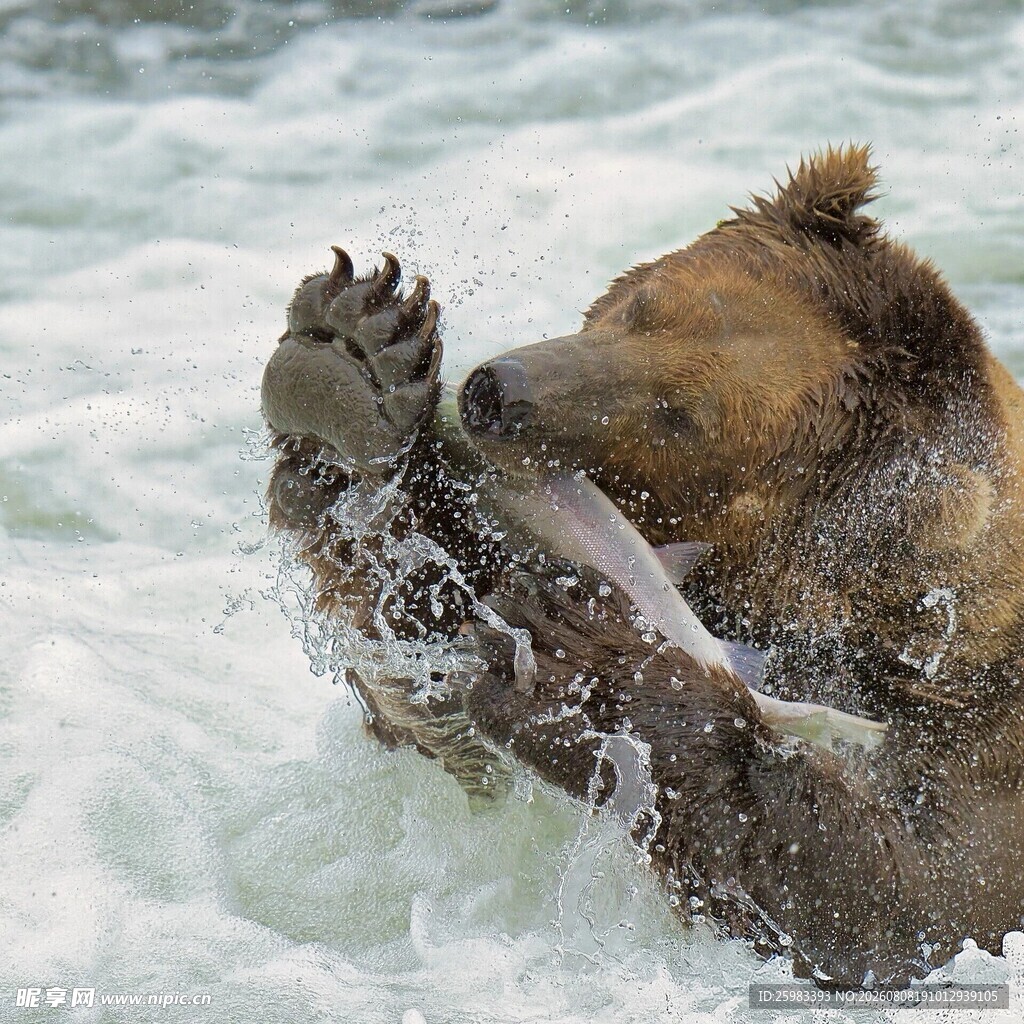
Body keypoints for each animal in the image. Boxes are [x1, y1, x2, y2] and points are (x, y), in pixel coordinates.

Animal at [259, 146, 1024, 989]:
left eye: (681, 416)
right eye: (643, 306)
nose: (498, 393)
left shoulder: (974, 739)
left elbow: (893, 903)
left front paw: (580, 662)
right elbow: (422, 658)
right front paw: (355, 357)